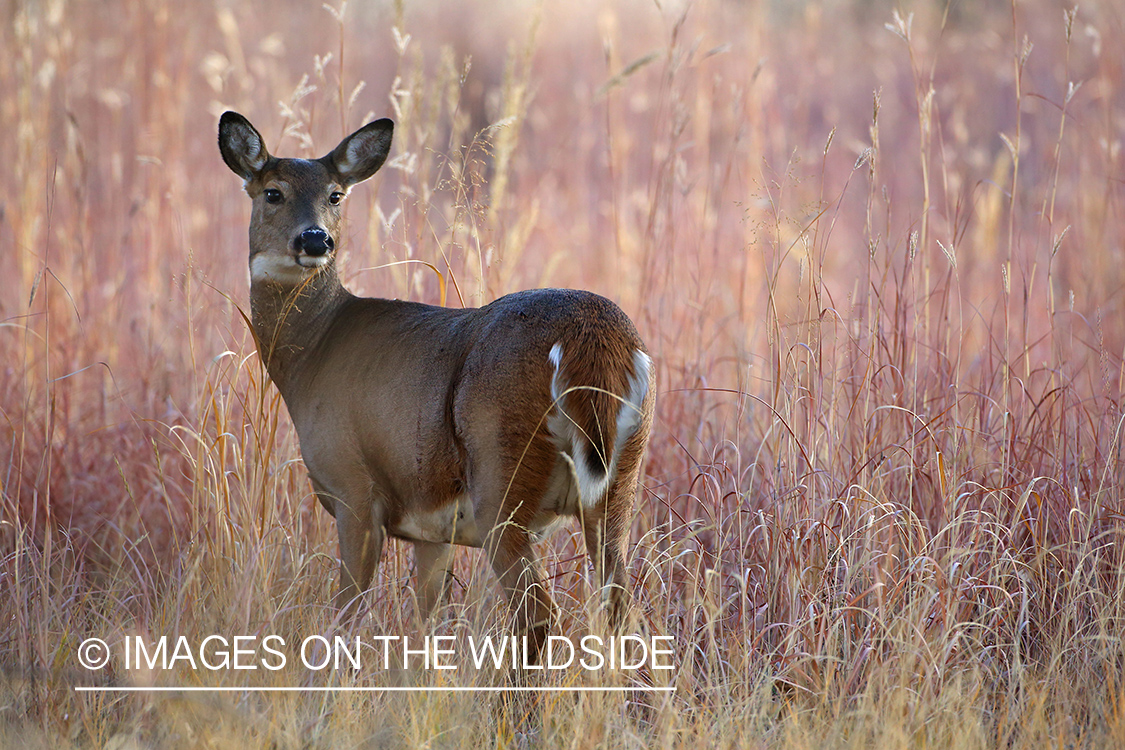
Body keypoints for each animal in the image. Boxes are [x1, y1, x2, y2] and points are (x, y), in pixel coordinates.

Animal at [217, 111, 657, 661]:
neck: (314, 352)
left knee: (539, 616)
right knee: (623, 609)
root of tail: (594, 335)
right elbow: (428, 625)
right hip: (621, 481)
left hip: (501, 474)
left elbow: (345, 615)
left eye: (335, 194)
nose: (315, 240)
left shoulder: (353, 490)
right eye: (273, 192)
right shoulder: (431, 528)